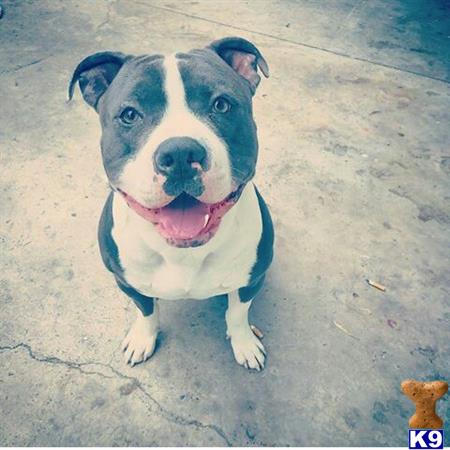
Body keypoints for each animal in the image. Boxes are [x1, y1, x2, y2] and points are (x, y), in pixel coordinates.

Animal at [69, 37, 274, 370]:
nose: (179, 153)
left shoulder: (251, 279)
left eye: (221, 105)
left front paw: (243, 342)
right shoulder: (126, 282)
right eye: (129, 115)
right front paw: (142, 338)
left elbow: (238, 312)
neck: (183, 253)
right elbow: (145, 311)